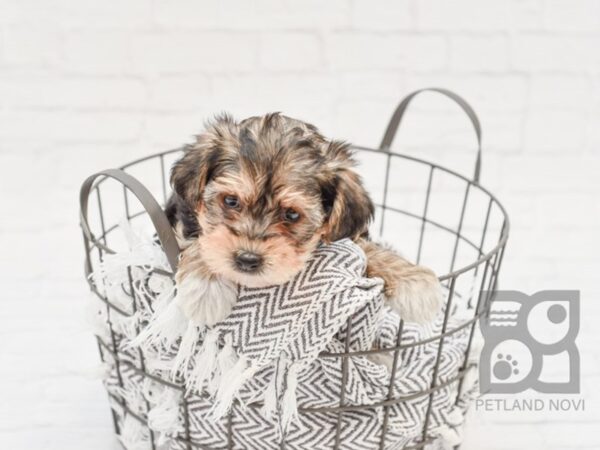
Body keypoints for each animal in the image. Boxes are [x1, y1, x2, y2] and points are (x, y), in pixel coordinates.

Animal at [164, 112, 440, 326]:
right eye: (231, 201)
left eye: (292, 214)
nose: (247, 259)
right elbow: (200, 240)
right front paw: (205, 287)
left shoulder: (347, 236)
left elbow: (365, 248)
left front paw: (414, 282)